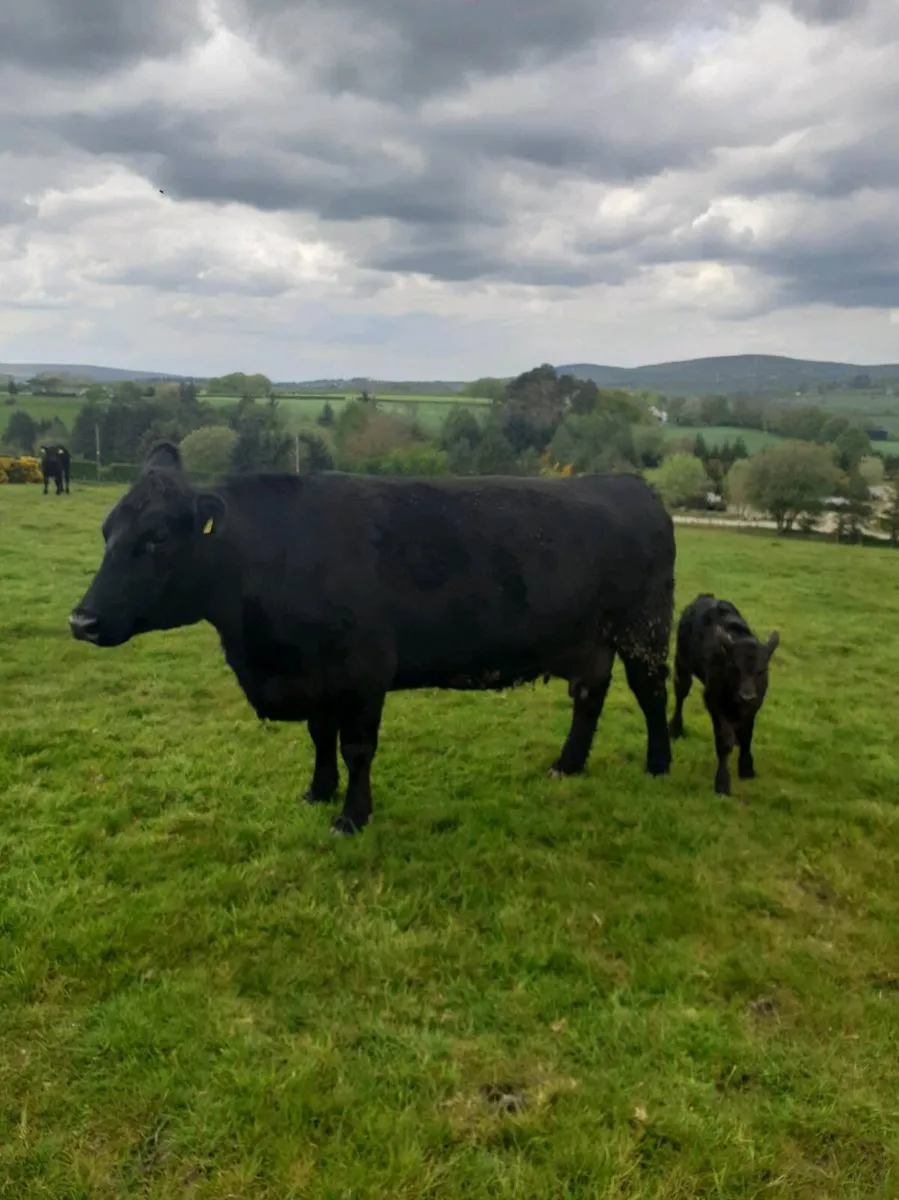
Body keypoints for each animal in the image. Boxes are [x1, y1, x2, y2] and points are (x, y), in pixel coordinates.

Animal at [69, 440, 676, 835]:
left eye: (155, 539)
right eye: (106, 532)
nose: (81, 621)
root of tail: (627, 484)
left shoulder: (362, 671)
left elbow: (356, 747)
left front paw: (351, 816)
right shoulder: (315, 678)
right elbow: (319, 737)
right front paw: (318, 792)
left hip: (644, 629)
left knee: (651, 695)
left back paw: (659, 765)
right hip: (591, 640)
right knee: (589, 696)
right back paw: (567, 764)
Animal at [668, 593, 779, 797]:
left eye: (761, 671)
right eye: (734, 668)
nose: (746, 696)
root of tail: (705, 597)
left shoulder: (755, 704)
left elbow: (747, 734)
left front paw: (746, 768)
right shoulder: (713, 700)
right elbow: (723, 740)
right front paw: (722, 783)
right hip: (682, 663)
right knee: (680, 695)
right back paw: (675, 729)